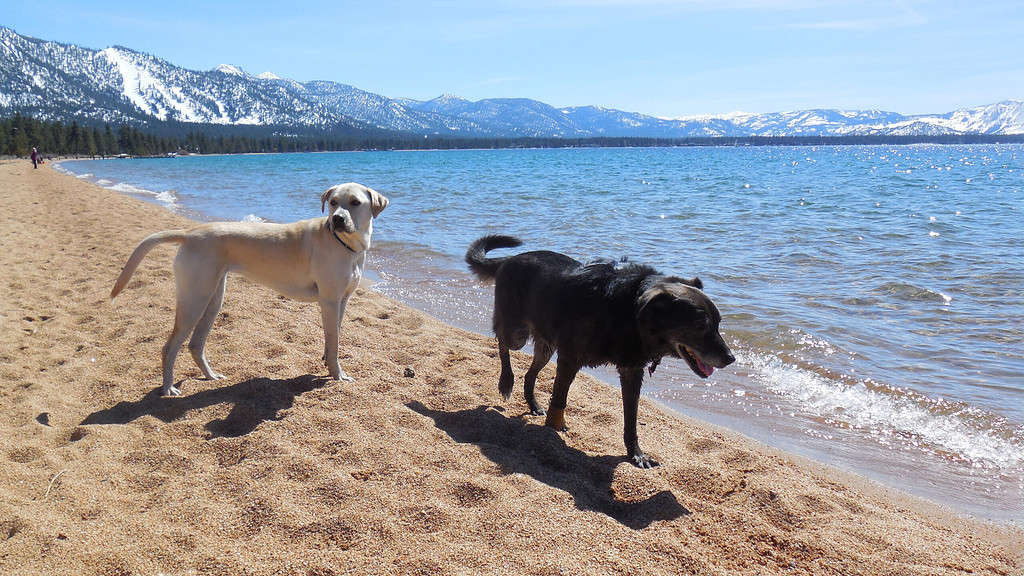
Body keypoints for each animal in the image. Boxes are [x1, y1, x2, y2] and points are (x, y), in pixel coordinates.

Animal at [464, 233, 737, 467]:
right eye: (700, 325)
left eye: (719, 323)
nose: (731, 358)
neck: (630, 313)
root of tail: (510, 259)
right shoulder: (570, 358)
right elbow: (559, 400)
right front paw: (552, 431)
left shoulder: (631, 371)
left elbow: (631, 418)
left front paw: (636, 454)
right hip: (517, 333)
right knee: (502, 342)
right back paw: (505, 381)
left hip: (547, 345)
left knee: (530, 373)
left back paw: (533, 404)